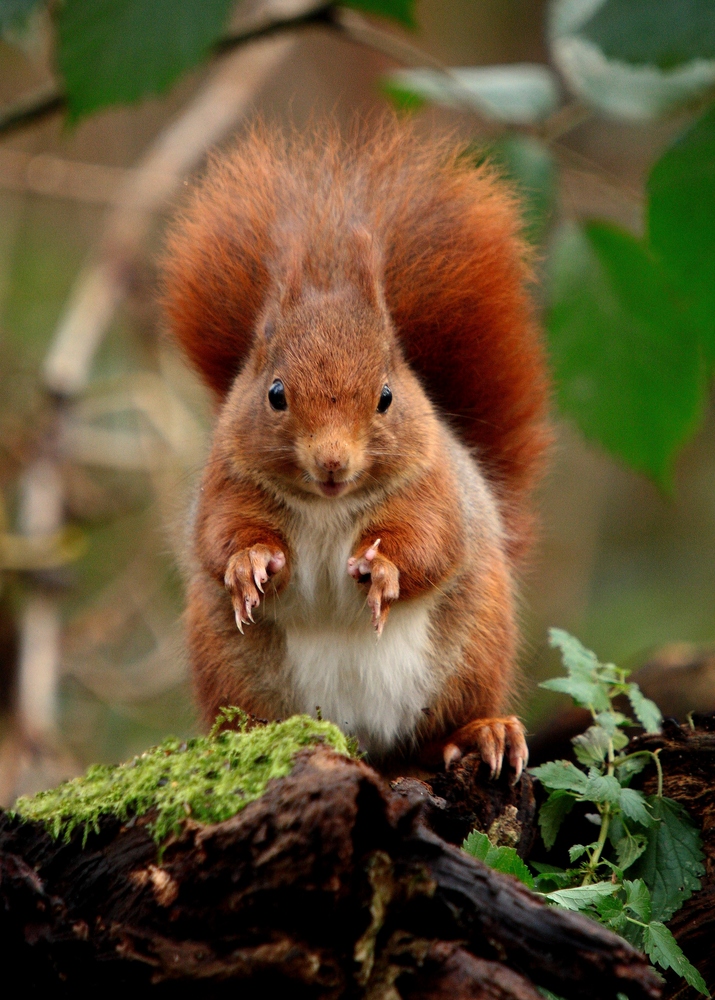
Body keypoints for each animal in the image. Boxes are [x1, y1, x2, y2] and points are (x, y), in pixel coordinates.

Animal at [162, 119, 552, 780]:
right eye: (275, 393)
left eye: (387, 396)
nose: (332, 462)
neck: (327, 506)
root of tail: (365, 740)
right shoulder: (227, 479)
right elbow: (219, 535)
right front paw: (247, 564)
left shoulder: (433, 486)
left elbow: (430, 543)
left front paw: (383, 568)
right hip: (229, 668)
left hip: (475, 650)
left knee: (439, 733)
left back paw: (483, 733)